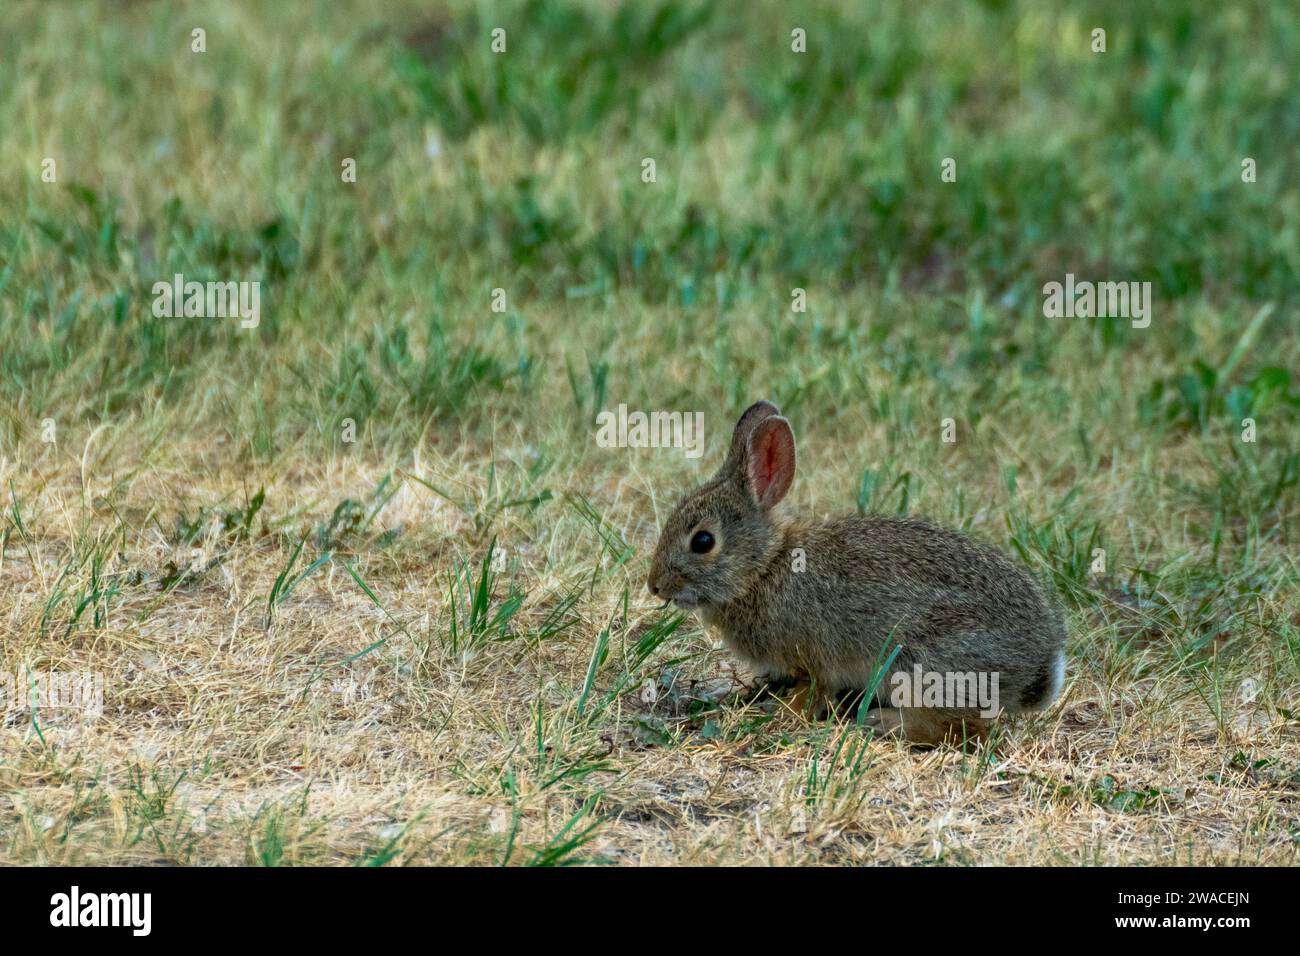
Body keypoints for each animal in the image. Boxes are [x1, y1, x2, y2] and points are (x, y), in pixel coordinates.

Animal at [647, 400, 1067, 745]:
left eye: (703, 541)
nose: (655, 586)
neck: (764, 568)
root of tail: (1040, 662)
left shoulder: (813, 660)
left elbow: (812, 692)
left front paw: (781, 715)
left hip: (926, 664)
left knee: (959, 729)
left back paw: (884, 723)